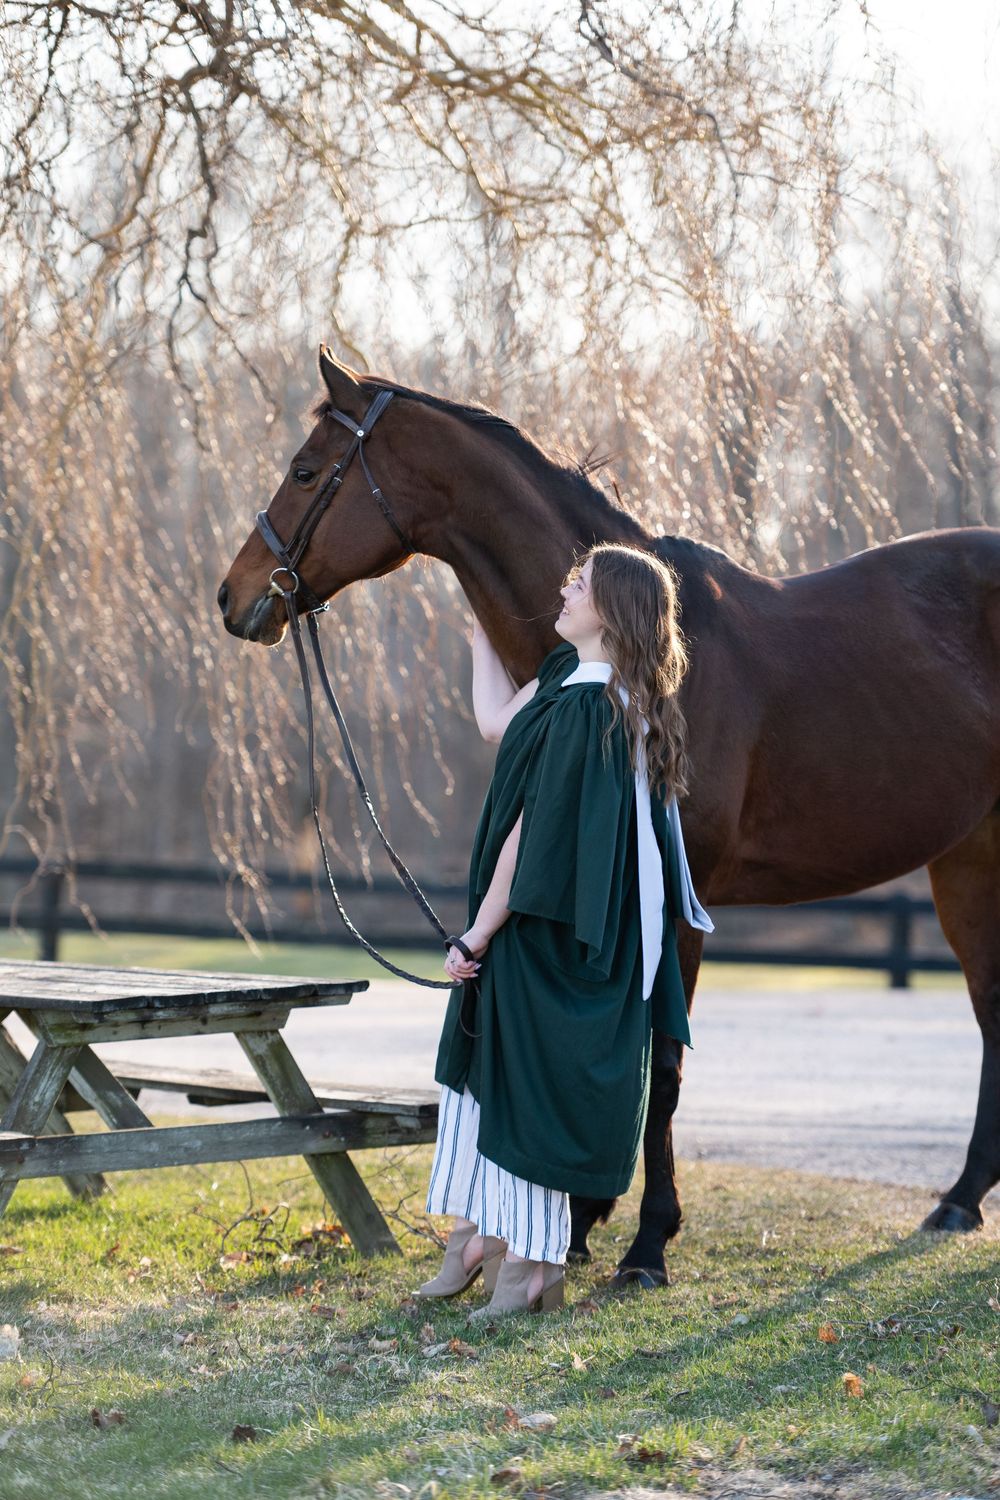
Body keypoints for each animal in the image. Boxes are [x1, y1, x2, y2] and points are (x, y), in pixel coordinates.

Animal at [219, 346, 1000, 1286]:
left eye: (305, 472)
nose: (232, 597)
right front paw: (586, 1221)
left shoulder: (679, 902)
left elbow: (660, 1065)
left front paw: (648, 1243)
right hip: (969, 861)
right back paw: (959, 1199)